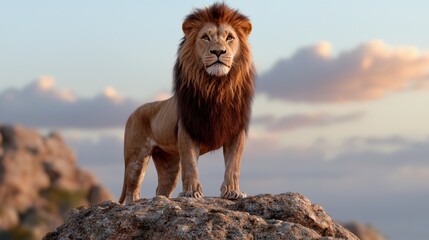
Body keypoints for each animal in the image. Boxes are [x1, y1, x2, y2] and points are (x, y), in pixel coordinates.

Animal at [118, 2, 254, 204]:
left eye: (230, 38)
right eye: (205, 37)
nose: (218, 51)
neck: (216, 88)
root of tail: (133, 112)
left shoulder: (236, 130)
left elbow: (233, 165)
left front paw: (232, 192)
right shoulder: (187, 129)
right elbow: (190, 164)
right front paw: (191, 193)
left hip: (169, 164)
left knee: (161, 189)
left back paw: (161, 201)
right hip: (136, 158)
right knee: (132, 189)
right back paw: (134, 205)